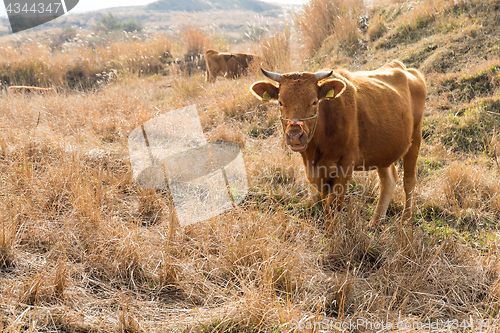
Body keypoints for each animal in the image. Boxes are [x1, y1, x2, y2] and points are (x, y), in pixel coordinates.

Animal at [250, 59, 426, 228]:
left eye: (314, 102)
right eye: (280, 102)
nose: (294, 135)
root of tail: (404, 69)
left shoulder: (345, 165)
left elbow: (333, 204)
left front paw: (333, 235)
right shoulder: (319, 174)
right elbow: (326, 205)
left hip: (415, 138)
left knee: (409, 180)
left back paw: (406, 220)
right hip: (383, 149)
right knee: (388, 180)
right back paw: (375, 222)